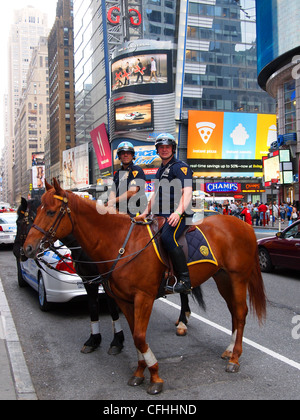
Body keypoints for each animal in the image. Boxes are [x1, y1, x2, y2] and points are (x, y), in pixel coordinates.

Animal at [24, 179, 268, 396]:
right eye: (35, 212)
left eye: (51, 212)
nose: (26, 248)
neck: (120, 242)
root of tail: (244, 225)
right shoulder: (124, 299)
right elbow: (134, 336)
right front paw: (140, 372)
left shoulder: (144, 297)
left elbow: (140, 337)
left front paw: (156, 376)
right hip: (222, 278)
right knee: (234, 313)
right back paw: (229, 350)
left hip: (238, 278)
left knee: (241, 312)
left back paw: (235, 358)